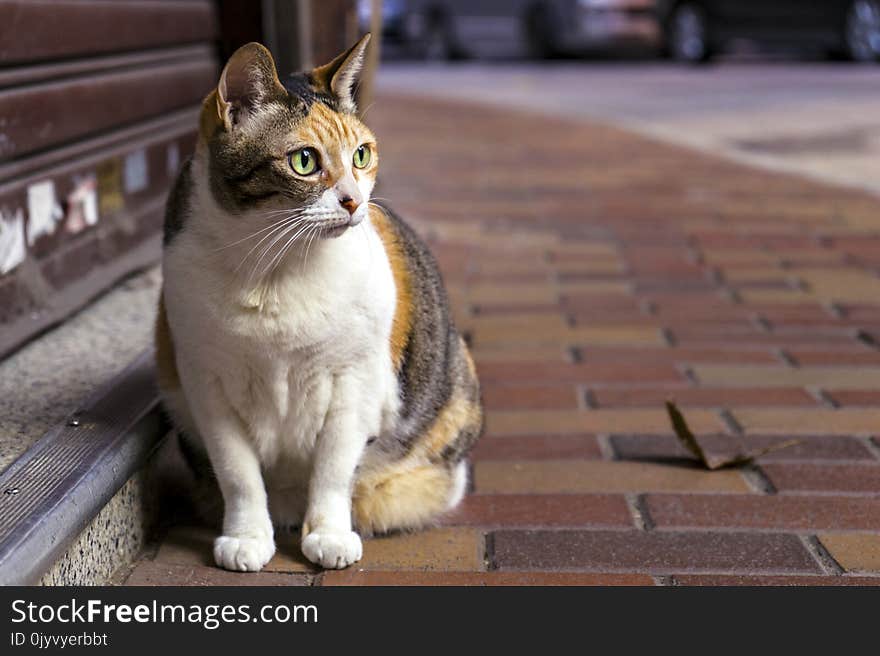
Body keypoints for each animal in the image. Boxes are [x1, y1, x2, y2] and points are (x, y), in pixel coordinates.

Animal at [152, 33, 482, 572]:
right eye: (304, 161)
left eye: (362, 155)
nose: (353, 200)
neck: (274, 271)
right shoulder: (205, 383)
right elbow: (237, 472)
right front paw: (246, 538)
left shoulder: (353, 382)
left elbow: (332, 469)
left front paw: (329, 535)